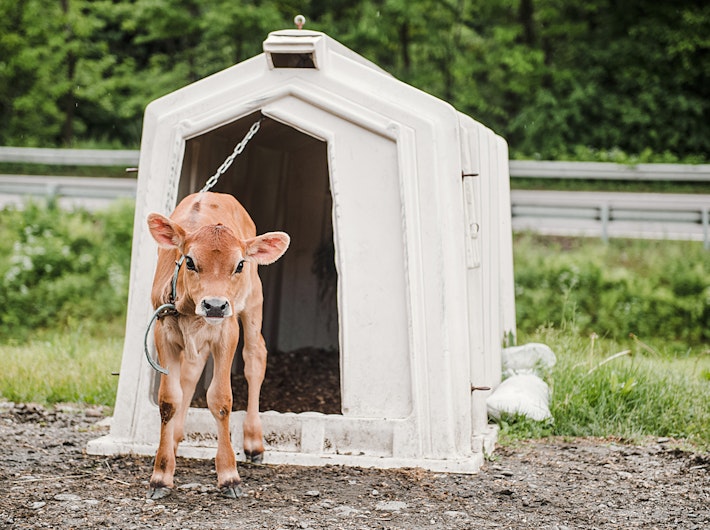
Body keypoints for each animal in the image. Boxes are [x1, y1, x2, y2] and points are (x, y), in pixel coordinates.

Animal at [145, 191, 290, 499]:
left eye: (239, 264)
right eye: (189, 261)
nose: (214, 305)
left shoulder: (227, 331)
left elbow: (221, 399)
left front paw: (229, 475)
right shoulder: (163, 331)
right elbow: (169, 400)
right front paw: (161, 474)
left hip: (254, 302)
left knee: (254, 357)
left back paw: (253, 441)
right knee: (191, 372)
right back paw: (175, 439)